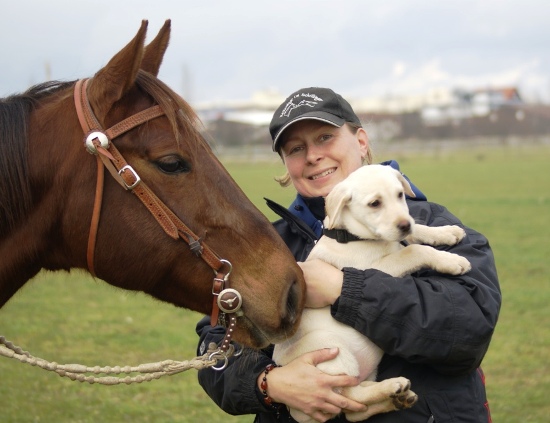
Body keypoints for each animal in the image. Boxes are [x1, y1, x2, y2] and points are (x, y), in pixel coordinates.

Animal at [274, 164, 472, 422]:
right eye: (374, 203)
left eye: (400, 195)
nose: (403, 224)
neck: (353, 236)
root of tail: (294, 411)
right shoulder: (375, 268)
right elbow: (414, 251)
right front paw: (453, 261)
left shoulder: (397, 237)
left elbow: (417, 232)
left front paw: (446, 232)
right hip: (331, 349)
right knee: (349, 395)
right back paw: (392, 387)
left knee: (354, 410)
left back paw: (396, 397)